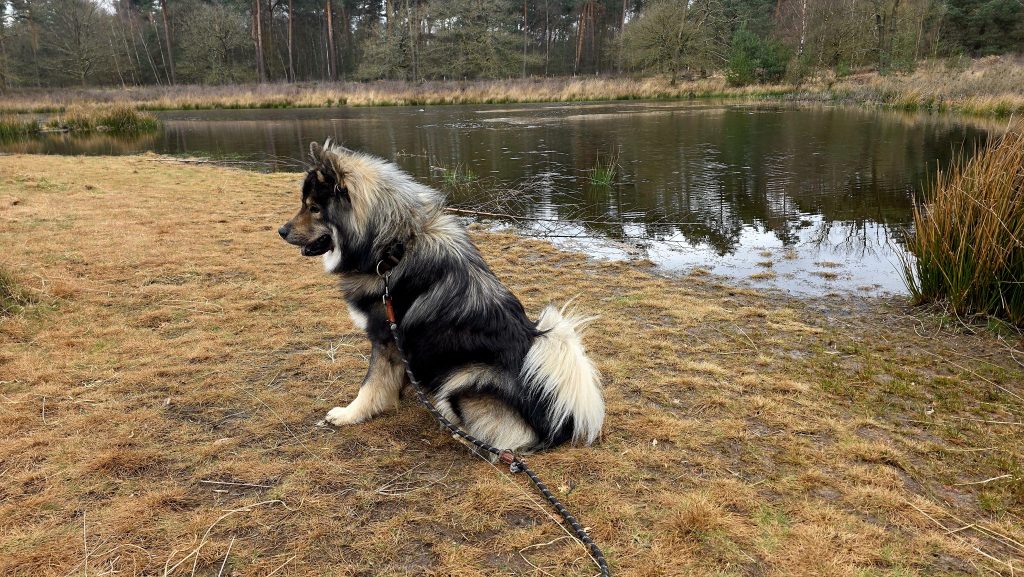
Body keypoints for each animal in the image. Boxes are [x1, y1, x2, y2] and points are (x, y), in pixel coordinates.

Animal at [278, 140, 604, 453]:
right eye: (304, 205)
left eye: (314, 208)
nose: (281, 231)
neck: (393, 249)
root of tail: (559, 425)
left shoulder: (386, 338)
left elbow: (369, 384)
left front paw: (350, 413)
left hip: (463, 378)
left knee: (506, 439)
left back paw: (461, 432)